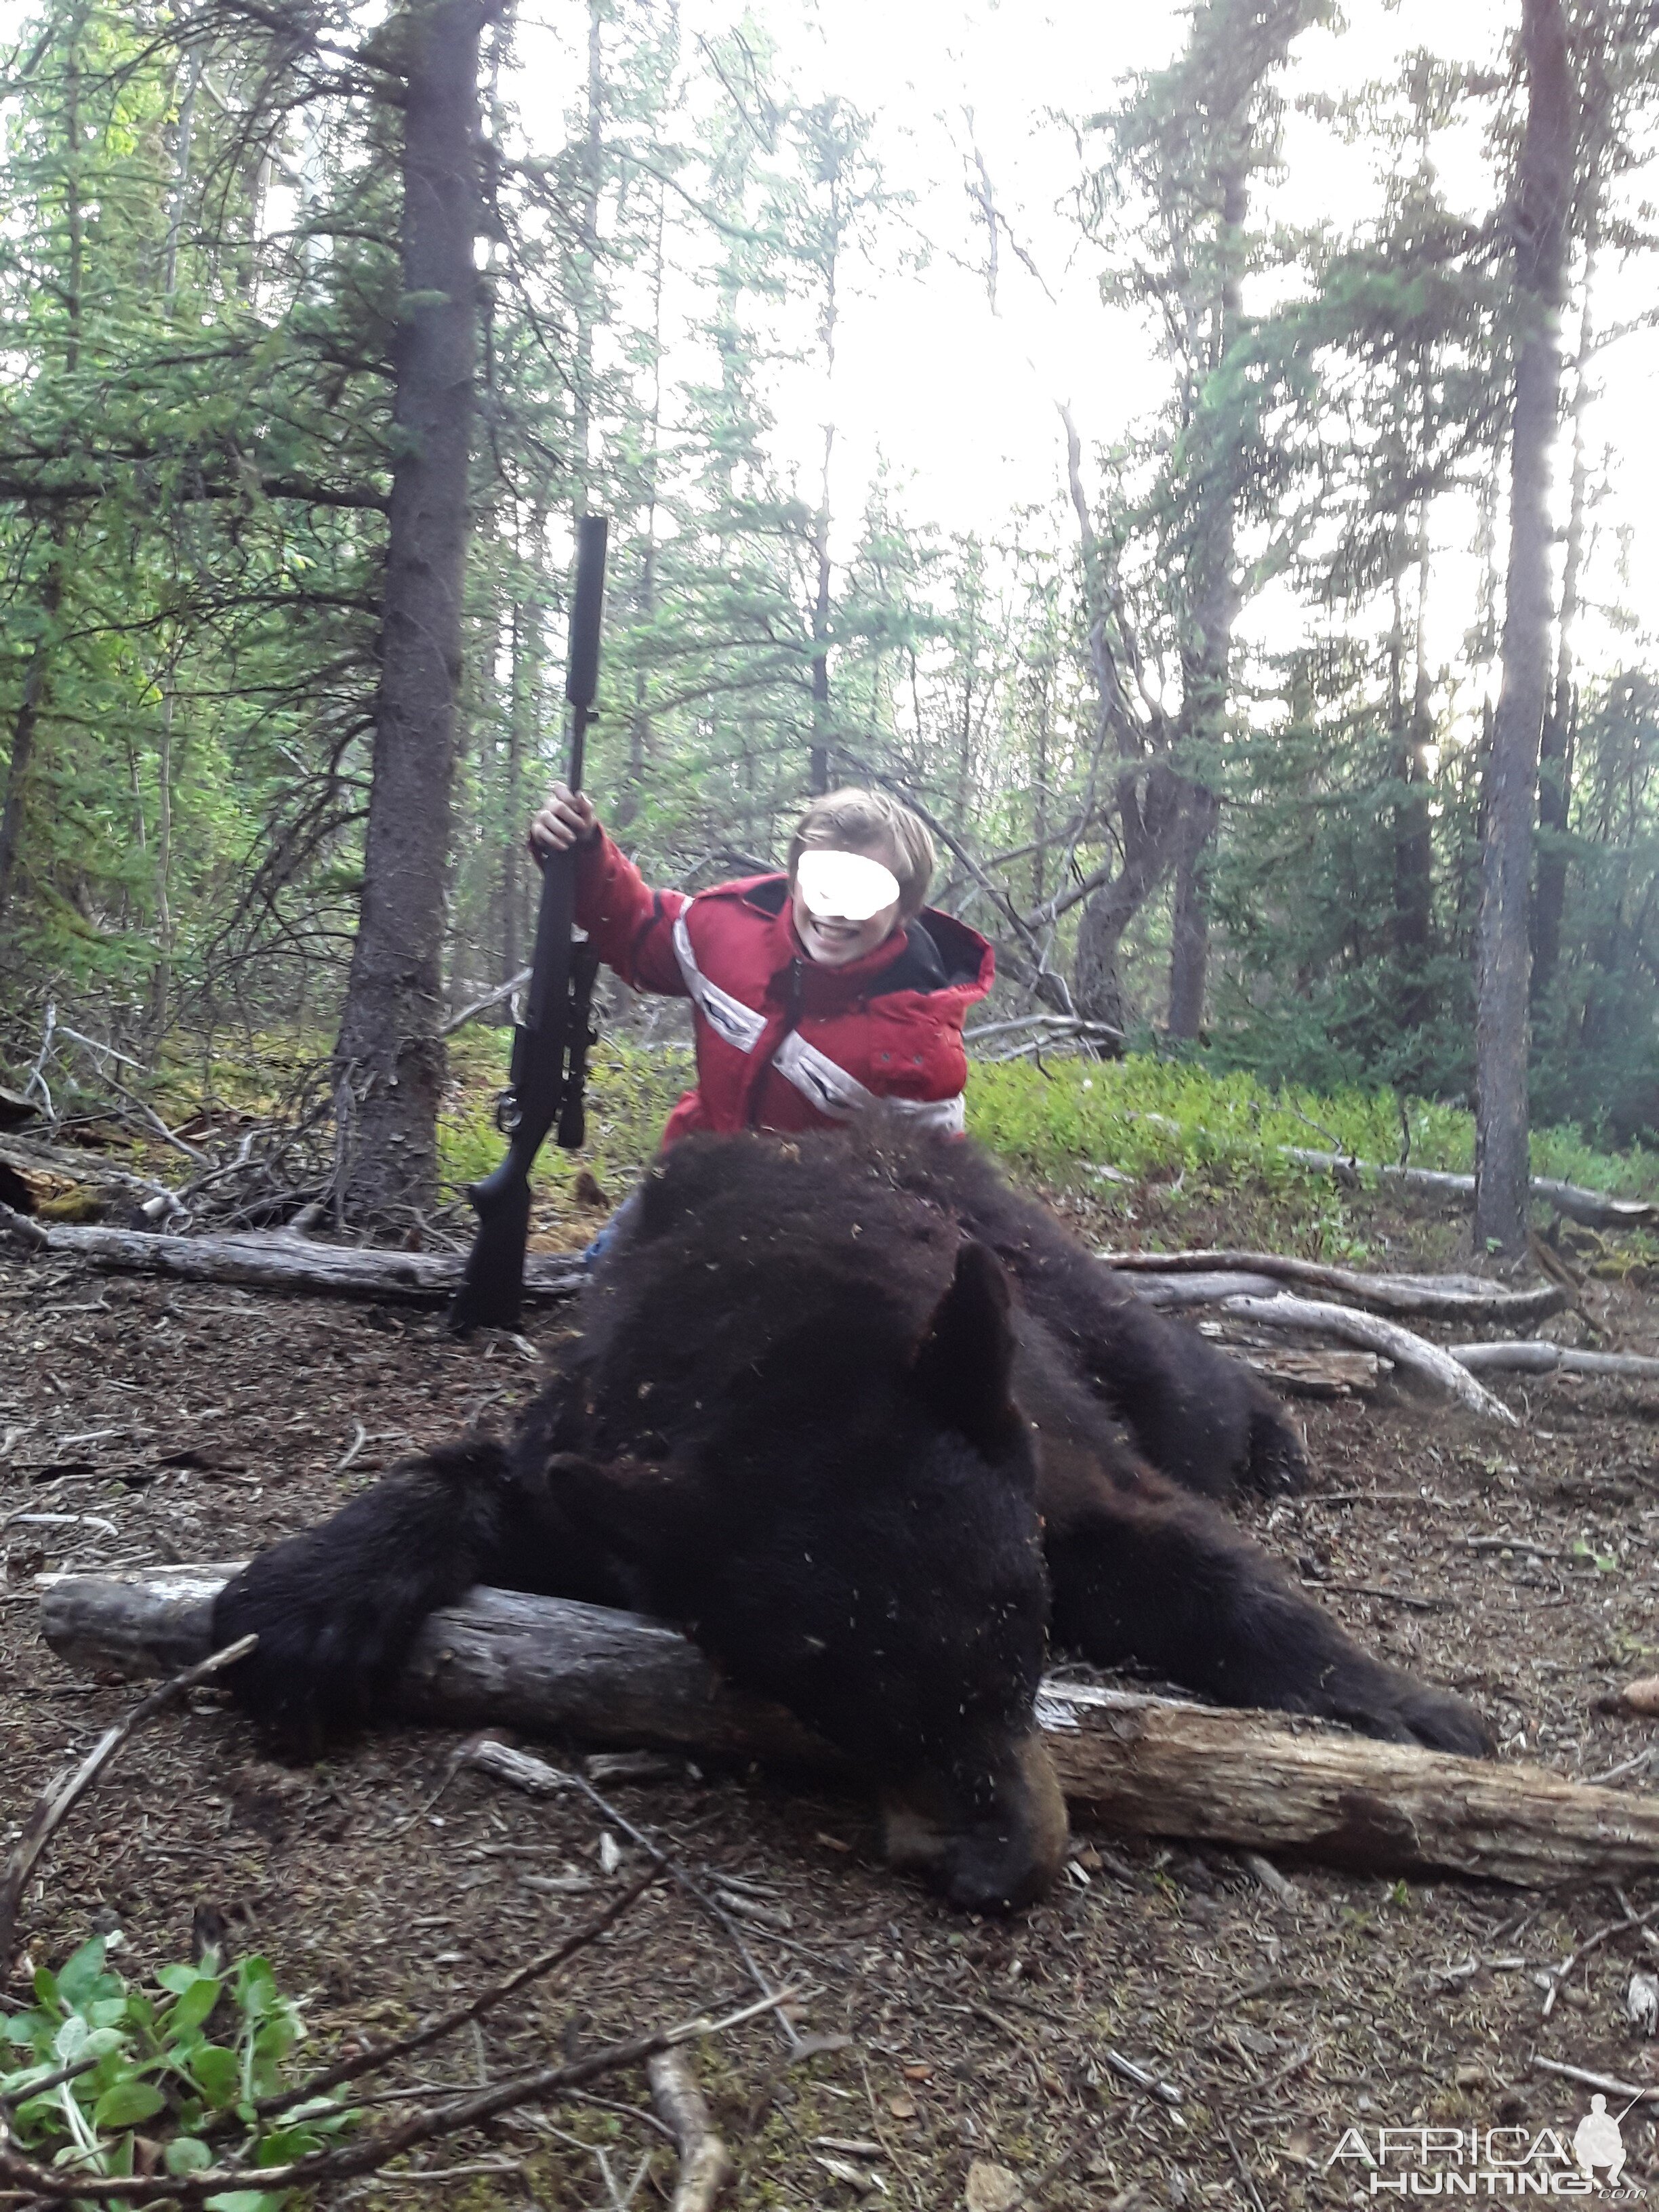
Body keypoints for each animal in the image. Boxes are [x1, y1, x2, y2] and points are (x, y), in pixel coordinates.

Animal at [211, 1132, 1495, 1911]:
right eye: (835, 1695)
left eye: (1016, 1646)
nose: (996, 1870)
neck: (790, 1348)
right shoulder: (613, 1454)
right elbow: (482, 1483)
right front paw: (312, 1599)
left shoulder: (1047, 1456)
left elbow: (1197, 1569)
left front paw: (1410, 1712)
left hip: (1057, 1295)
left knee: (1177, 1374)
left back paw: (1273, 1434)